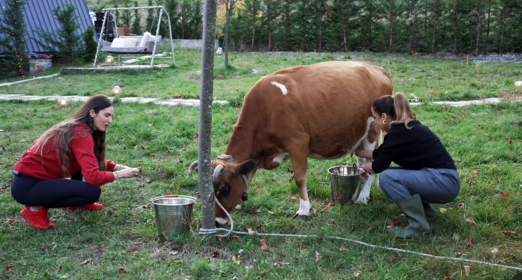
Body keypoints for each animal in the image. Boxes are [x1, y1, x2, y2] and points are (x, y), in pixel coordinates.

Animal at [189, 60, 392, 224]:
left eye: (224, 188)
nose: (217, 222)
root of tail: (378, 69)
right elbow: (249, 174)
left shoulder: (298, 142)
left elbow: (299, 178)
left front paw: (304, 210)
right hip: (361, 135)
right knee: (362, 163)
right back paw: (359, 194)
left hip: (373, 130)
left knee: (371, 164)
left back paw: (362, 198)